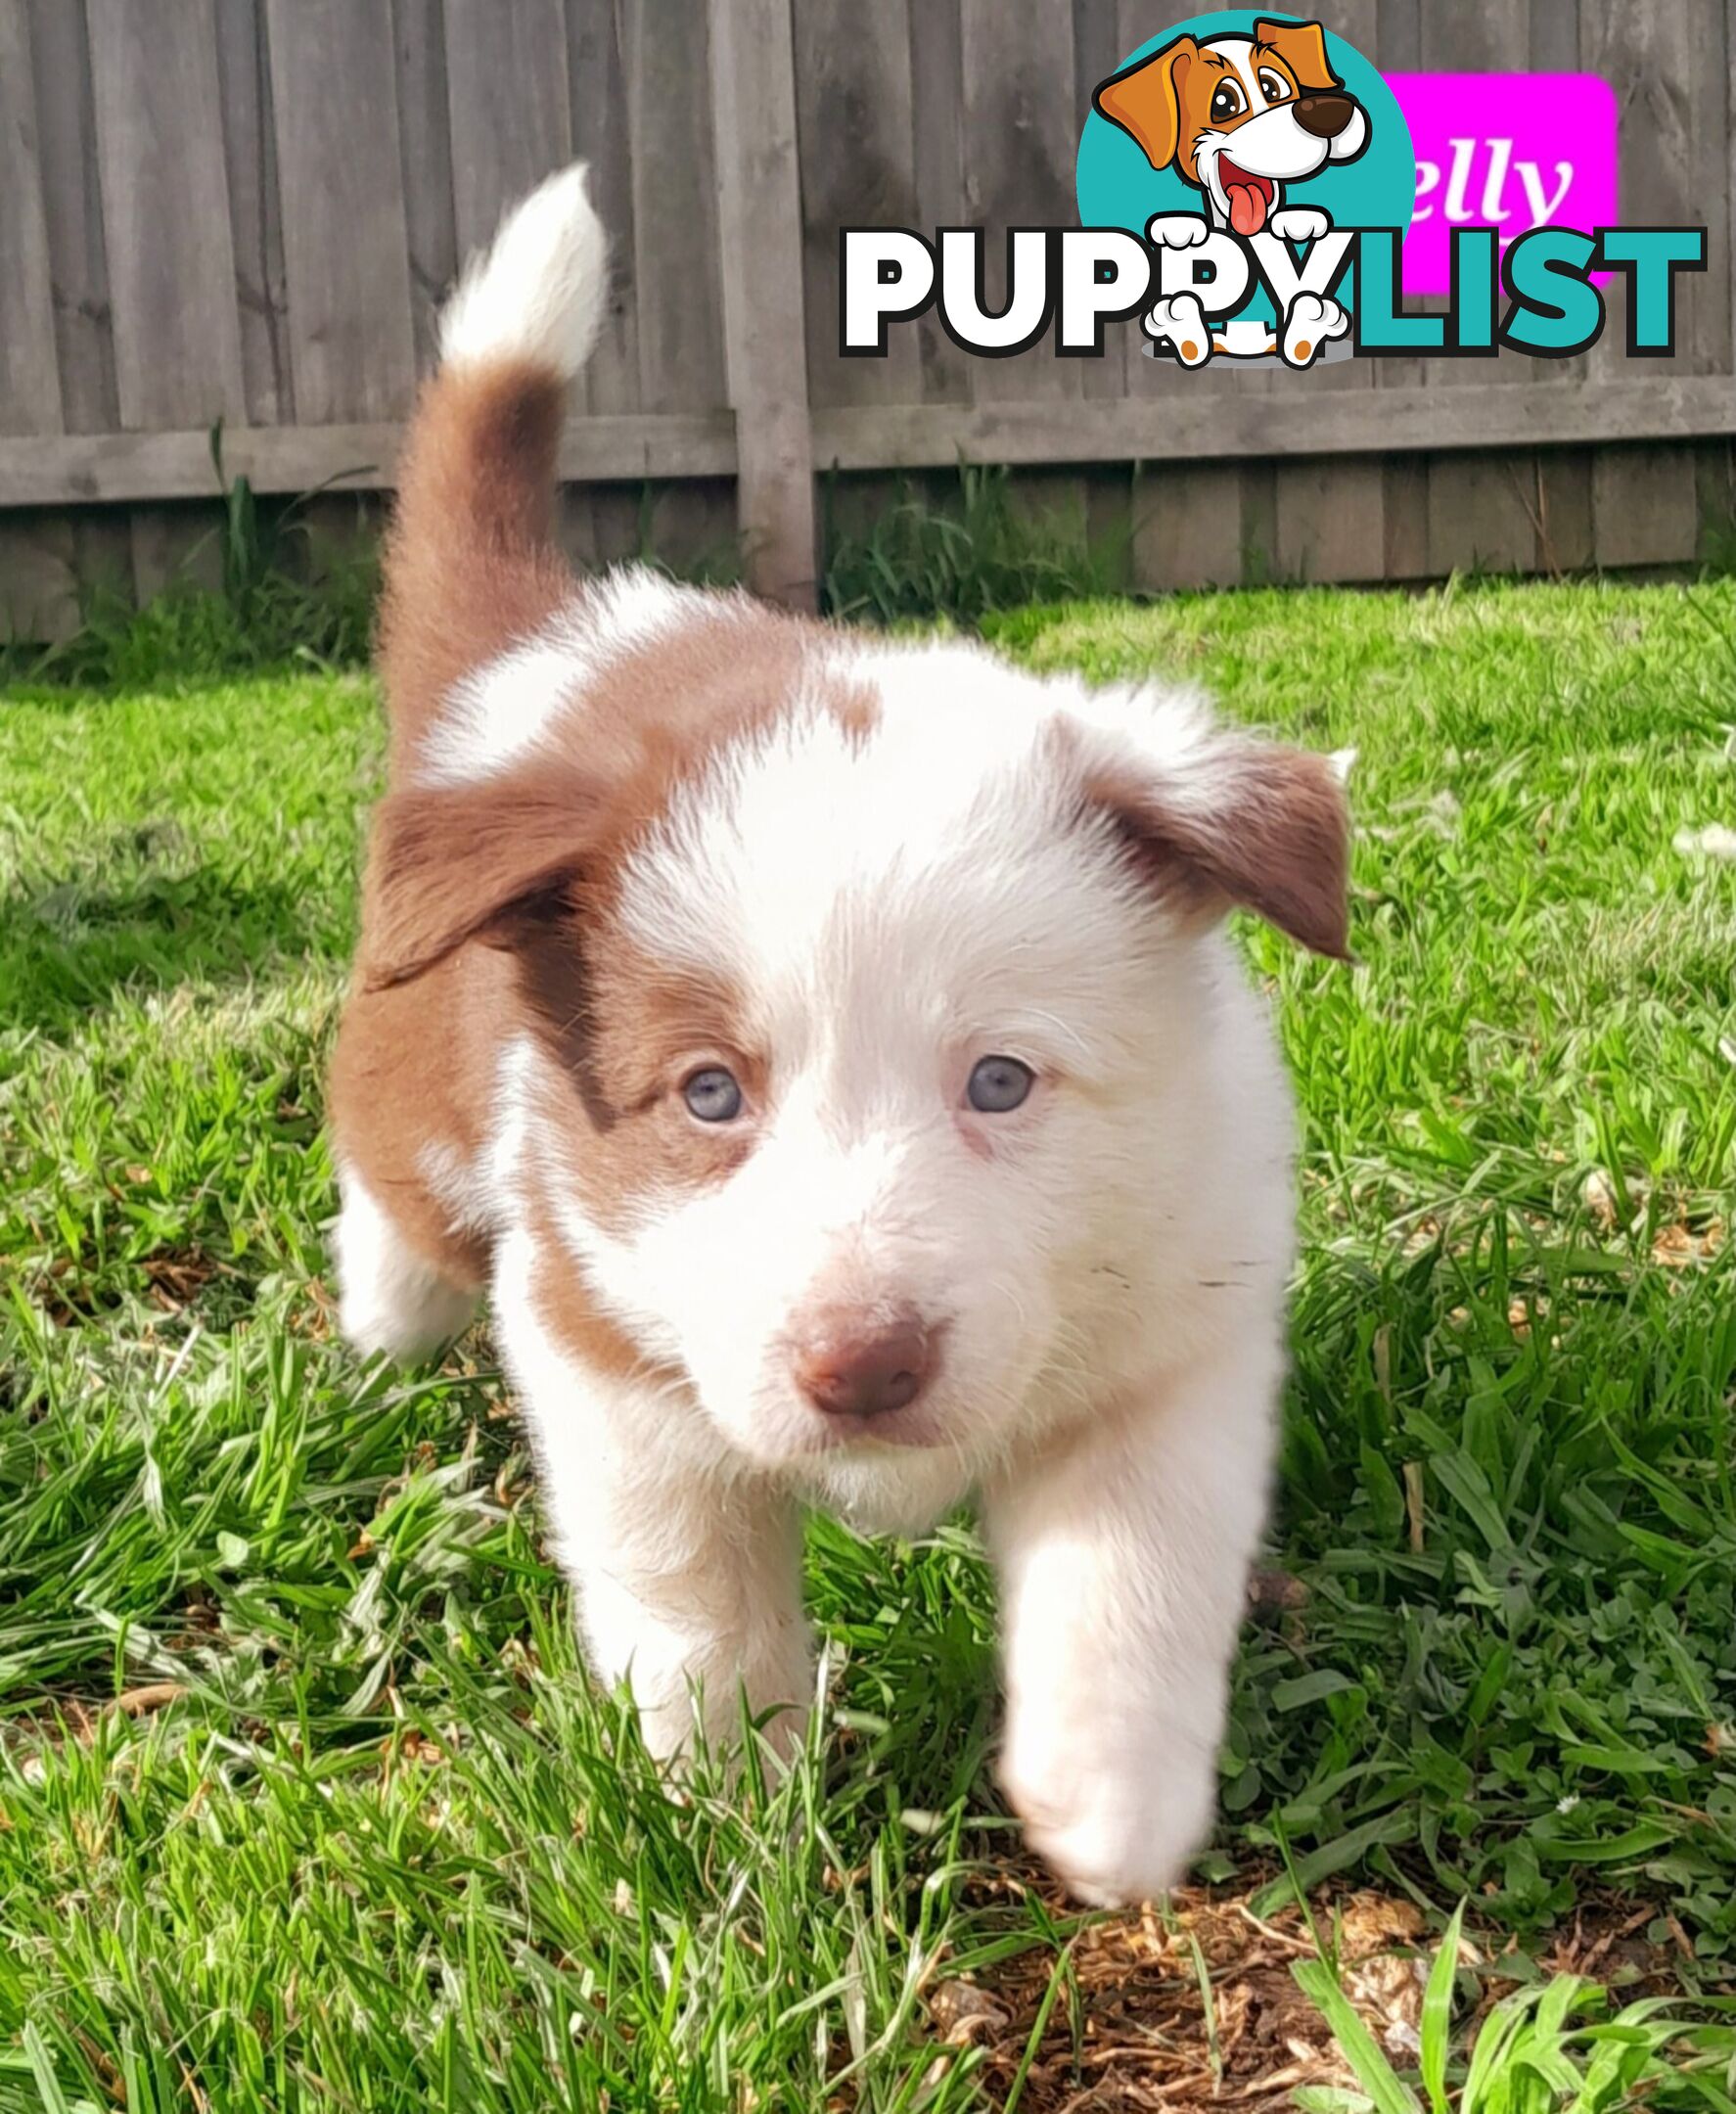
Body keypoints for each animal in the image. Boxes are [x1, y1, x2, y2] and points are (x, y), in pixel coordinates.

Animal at [327, 161, 1352, 1903]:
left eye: (1000, 1081)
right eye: (707, 1094)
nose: (859, 1365)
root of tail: (534, 643)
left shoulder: (1171, 1331)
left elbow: (1133, 1566)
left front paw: (1113, 1802)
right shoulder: (610, 1357)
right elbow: (694, 1601)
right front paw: (733, 1816)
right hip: (418, 1102)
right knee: (393, 1217)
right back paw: (376, 1310)